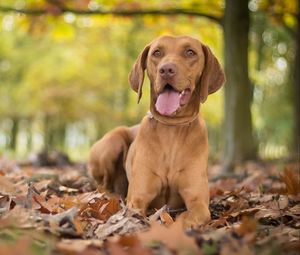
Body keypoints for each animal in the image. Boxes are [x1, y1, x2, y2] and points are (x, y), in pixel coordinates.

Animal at [89, 35, 225, 227]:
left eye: (190, 52)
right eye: (157, 52)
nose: (166, 70)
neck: (172, 128)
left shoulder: (198, 202)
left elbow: (190, 216)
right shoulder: (137, 198)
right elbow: (136, 209)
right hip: (112, 143)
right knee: (101, 185)